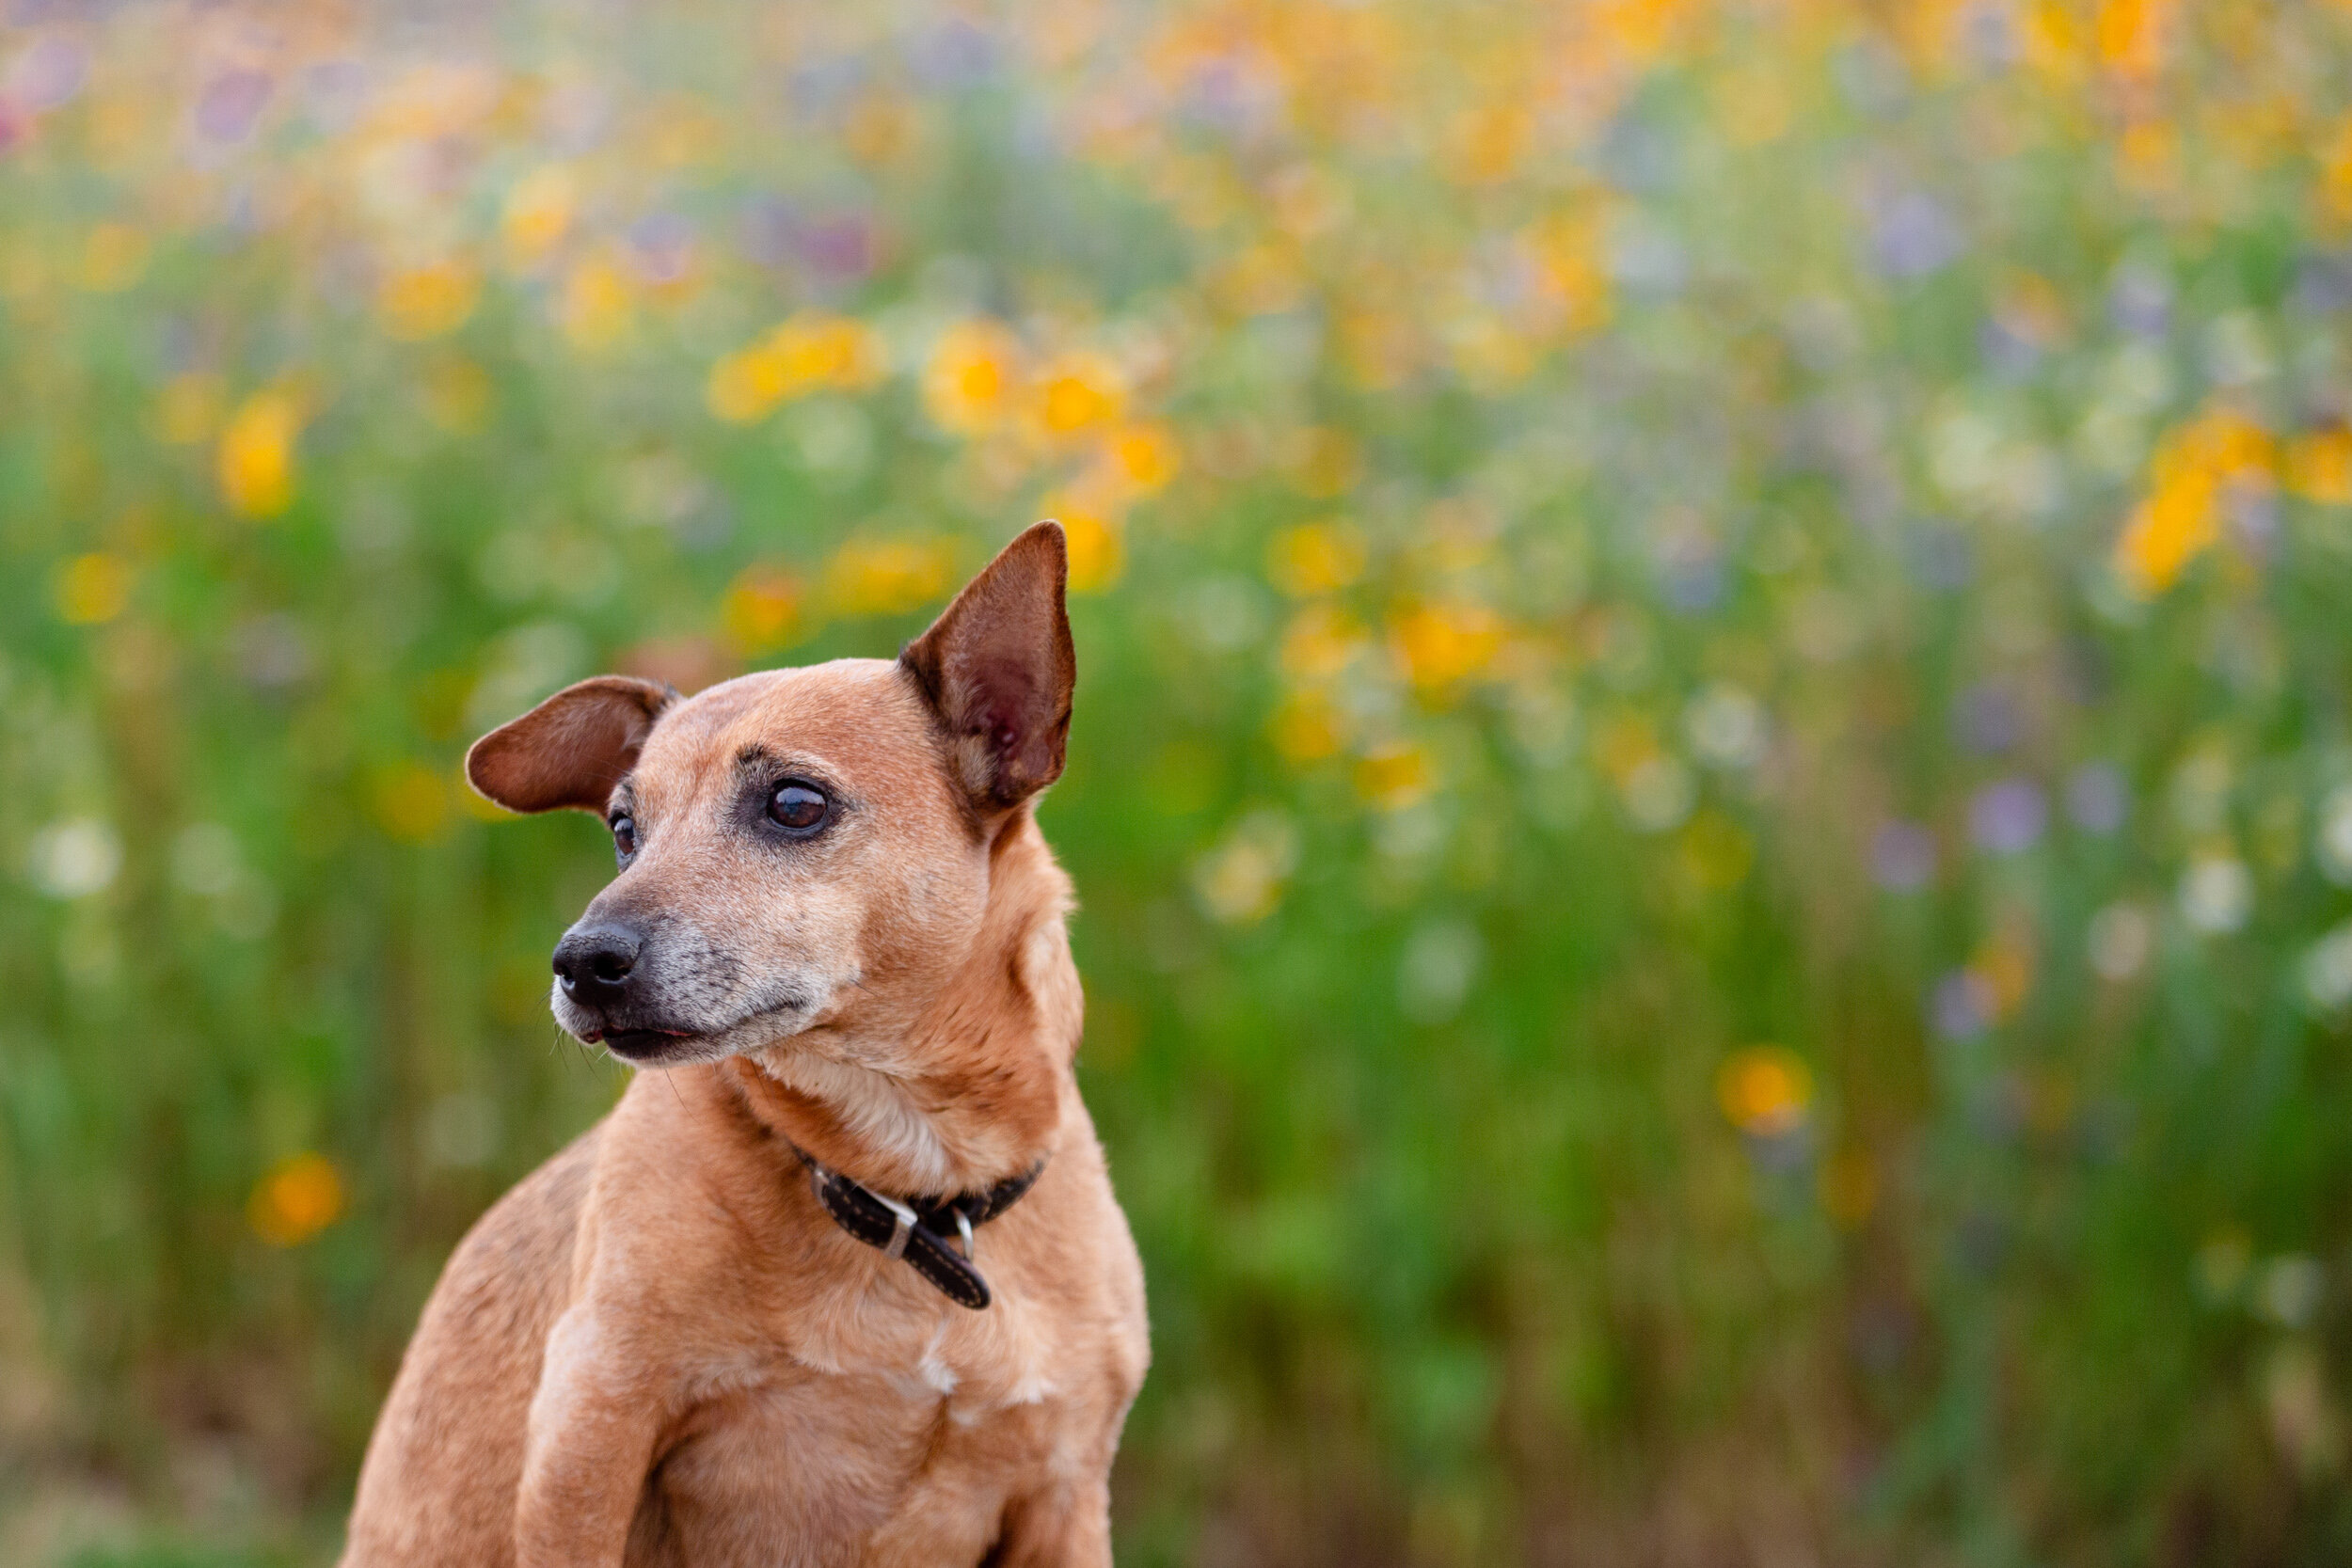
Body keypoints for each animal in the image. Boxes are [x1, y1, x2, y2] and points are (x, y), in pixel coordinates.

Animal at [343, 526, 1152, 1568]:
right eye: (624, 829)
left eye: (795, 803)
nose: (580, 961)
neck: (910, 1197)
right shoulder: (587, 1436)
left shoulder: (1063, 1496)